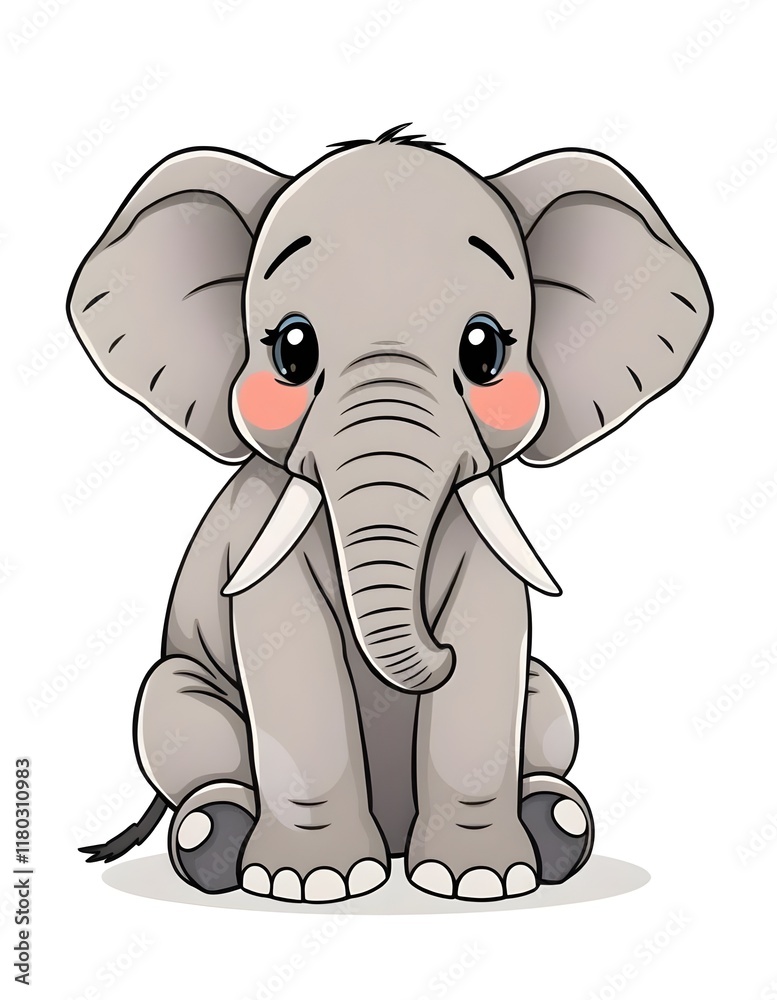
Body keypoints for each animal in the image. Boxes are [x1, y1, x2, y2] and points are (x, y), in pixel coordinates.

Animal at [69, 124, 712, 903]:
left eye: (484, 349)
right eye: (291, 350)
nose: (436, 654)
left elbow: (491, 643)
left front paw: (481, 881)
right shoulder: (264, 537)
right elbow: (291, 651)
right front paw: (310, 883)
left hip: (547, 698)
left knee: (548, 702)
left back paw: (555, 825)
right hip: (178, 687)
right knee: (174, 713)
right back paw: (213, 839)